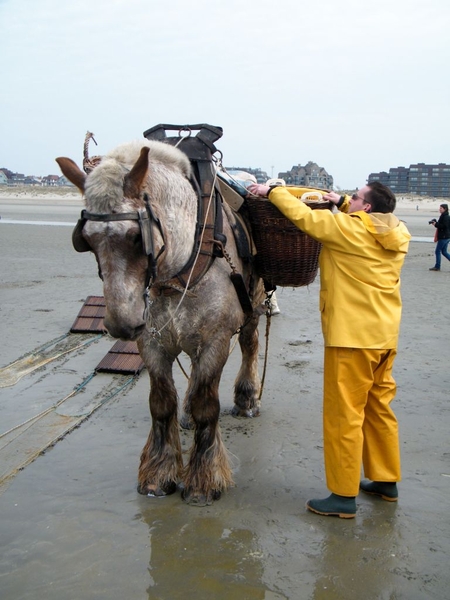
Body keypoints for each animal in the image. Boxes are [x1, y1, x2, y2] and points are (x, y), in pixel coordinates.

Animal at [56, 137, 268, 506]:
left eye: (135, 236)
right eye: (88, 241)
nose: (121, 323)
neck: (182, 262)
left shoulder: (215, 341)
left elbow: (207, 406)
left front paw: (203, 479)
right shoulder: (151, 343)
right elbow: (161, 404)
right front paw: (159, 472)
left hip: (252, 306)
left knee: (249, 345)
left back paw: (246, 398)